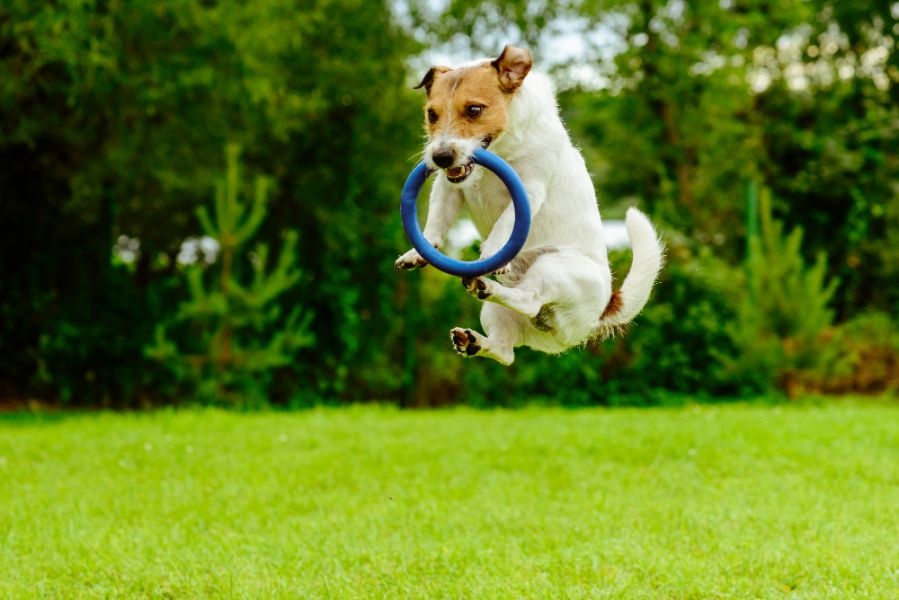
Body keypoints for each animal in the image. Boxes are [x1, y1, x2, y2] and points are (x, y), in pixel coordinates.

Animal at [398, 44, 664, 364]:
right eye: (431, 114)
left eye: (474, 110)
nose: (440, 157)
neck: (501, 149)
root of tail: (597, 316)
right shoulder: (449, 188)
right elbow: (437, 218)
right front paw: (419, 251)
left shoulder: (529, 190)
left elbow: (506, 222)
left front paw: (493, 250)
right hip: (497, 313)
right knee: (506, 352)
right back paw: (472, 339)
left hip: (555, 267)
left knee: (529, 299)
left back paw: (486, 285)